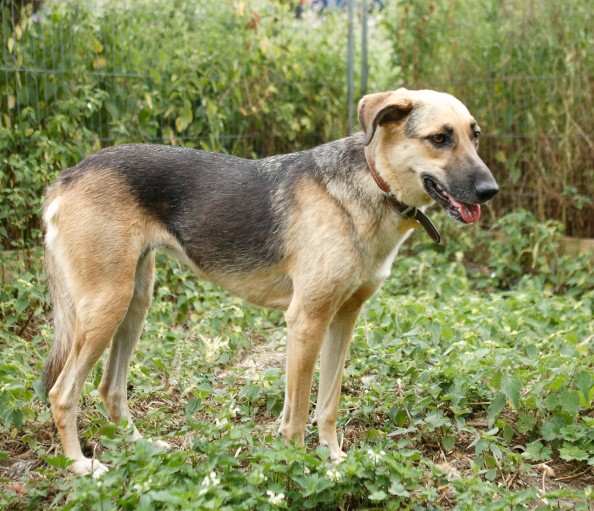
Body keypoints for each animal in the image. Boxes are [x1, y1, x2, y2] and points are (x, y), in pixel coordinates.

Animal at [40, 88, 494, 476]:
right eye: (439, 138)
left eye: (475, 136)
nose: (491, 191)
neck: (372, 184)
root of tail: (67, 177)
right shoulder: (307, 321)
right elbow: (298, 414)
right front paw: (296, 468)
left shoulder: (343, 319)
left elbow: (325, 404)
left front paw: (333, 459)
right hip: (107, 305)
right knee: (62, 394)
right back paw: (80, 466)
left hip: (135, 302)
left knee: (110, 389)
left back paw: (142, 448)